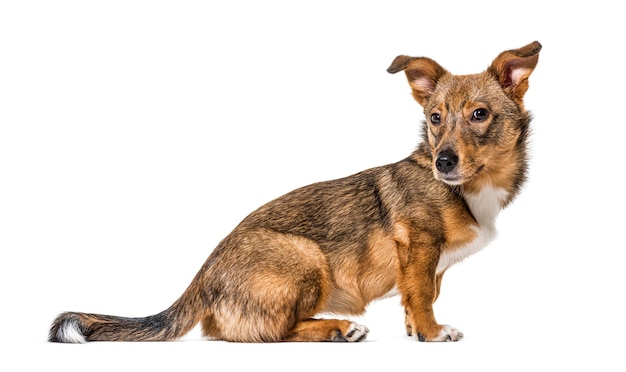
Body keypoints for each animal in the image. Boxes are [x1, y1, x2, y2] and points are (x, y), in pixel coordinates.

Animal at [48, 40, 540, 342]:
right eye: (435, 118)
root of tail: (203, 276)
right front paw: (432, 332)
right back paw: (337, 329)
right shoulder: (417, 243)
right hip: (307, 257)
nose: (443, 162)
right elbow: (421, 295)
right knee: (271, 332)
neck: (473, 188)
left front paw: (415, 330)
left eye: (479, 114)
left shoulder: (426, 261)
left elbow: (420, 294)